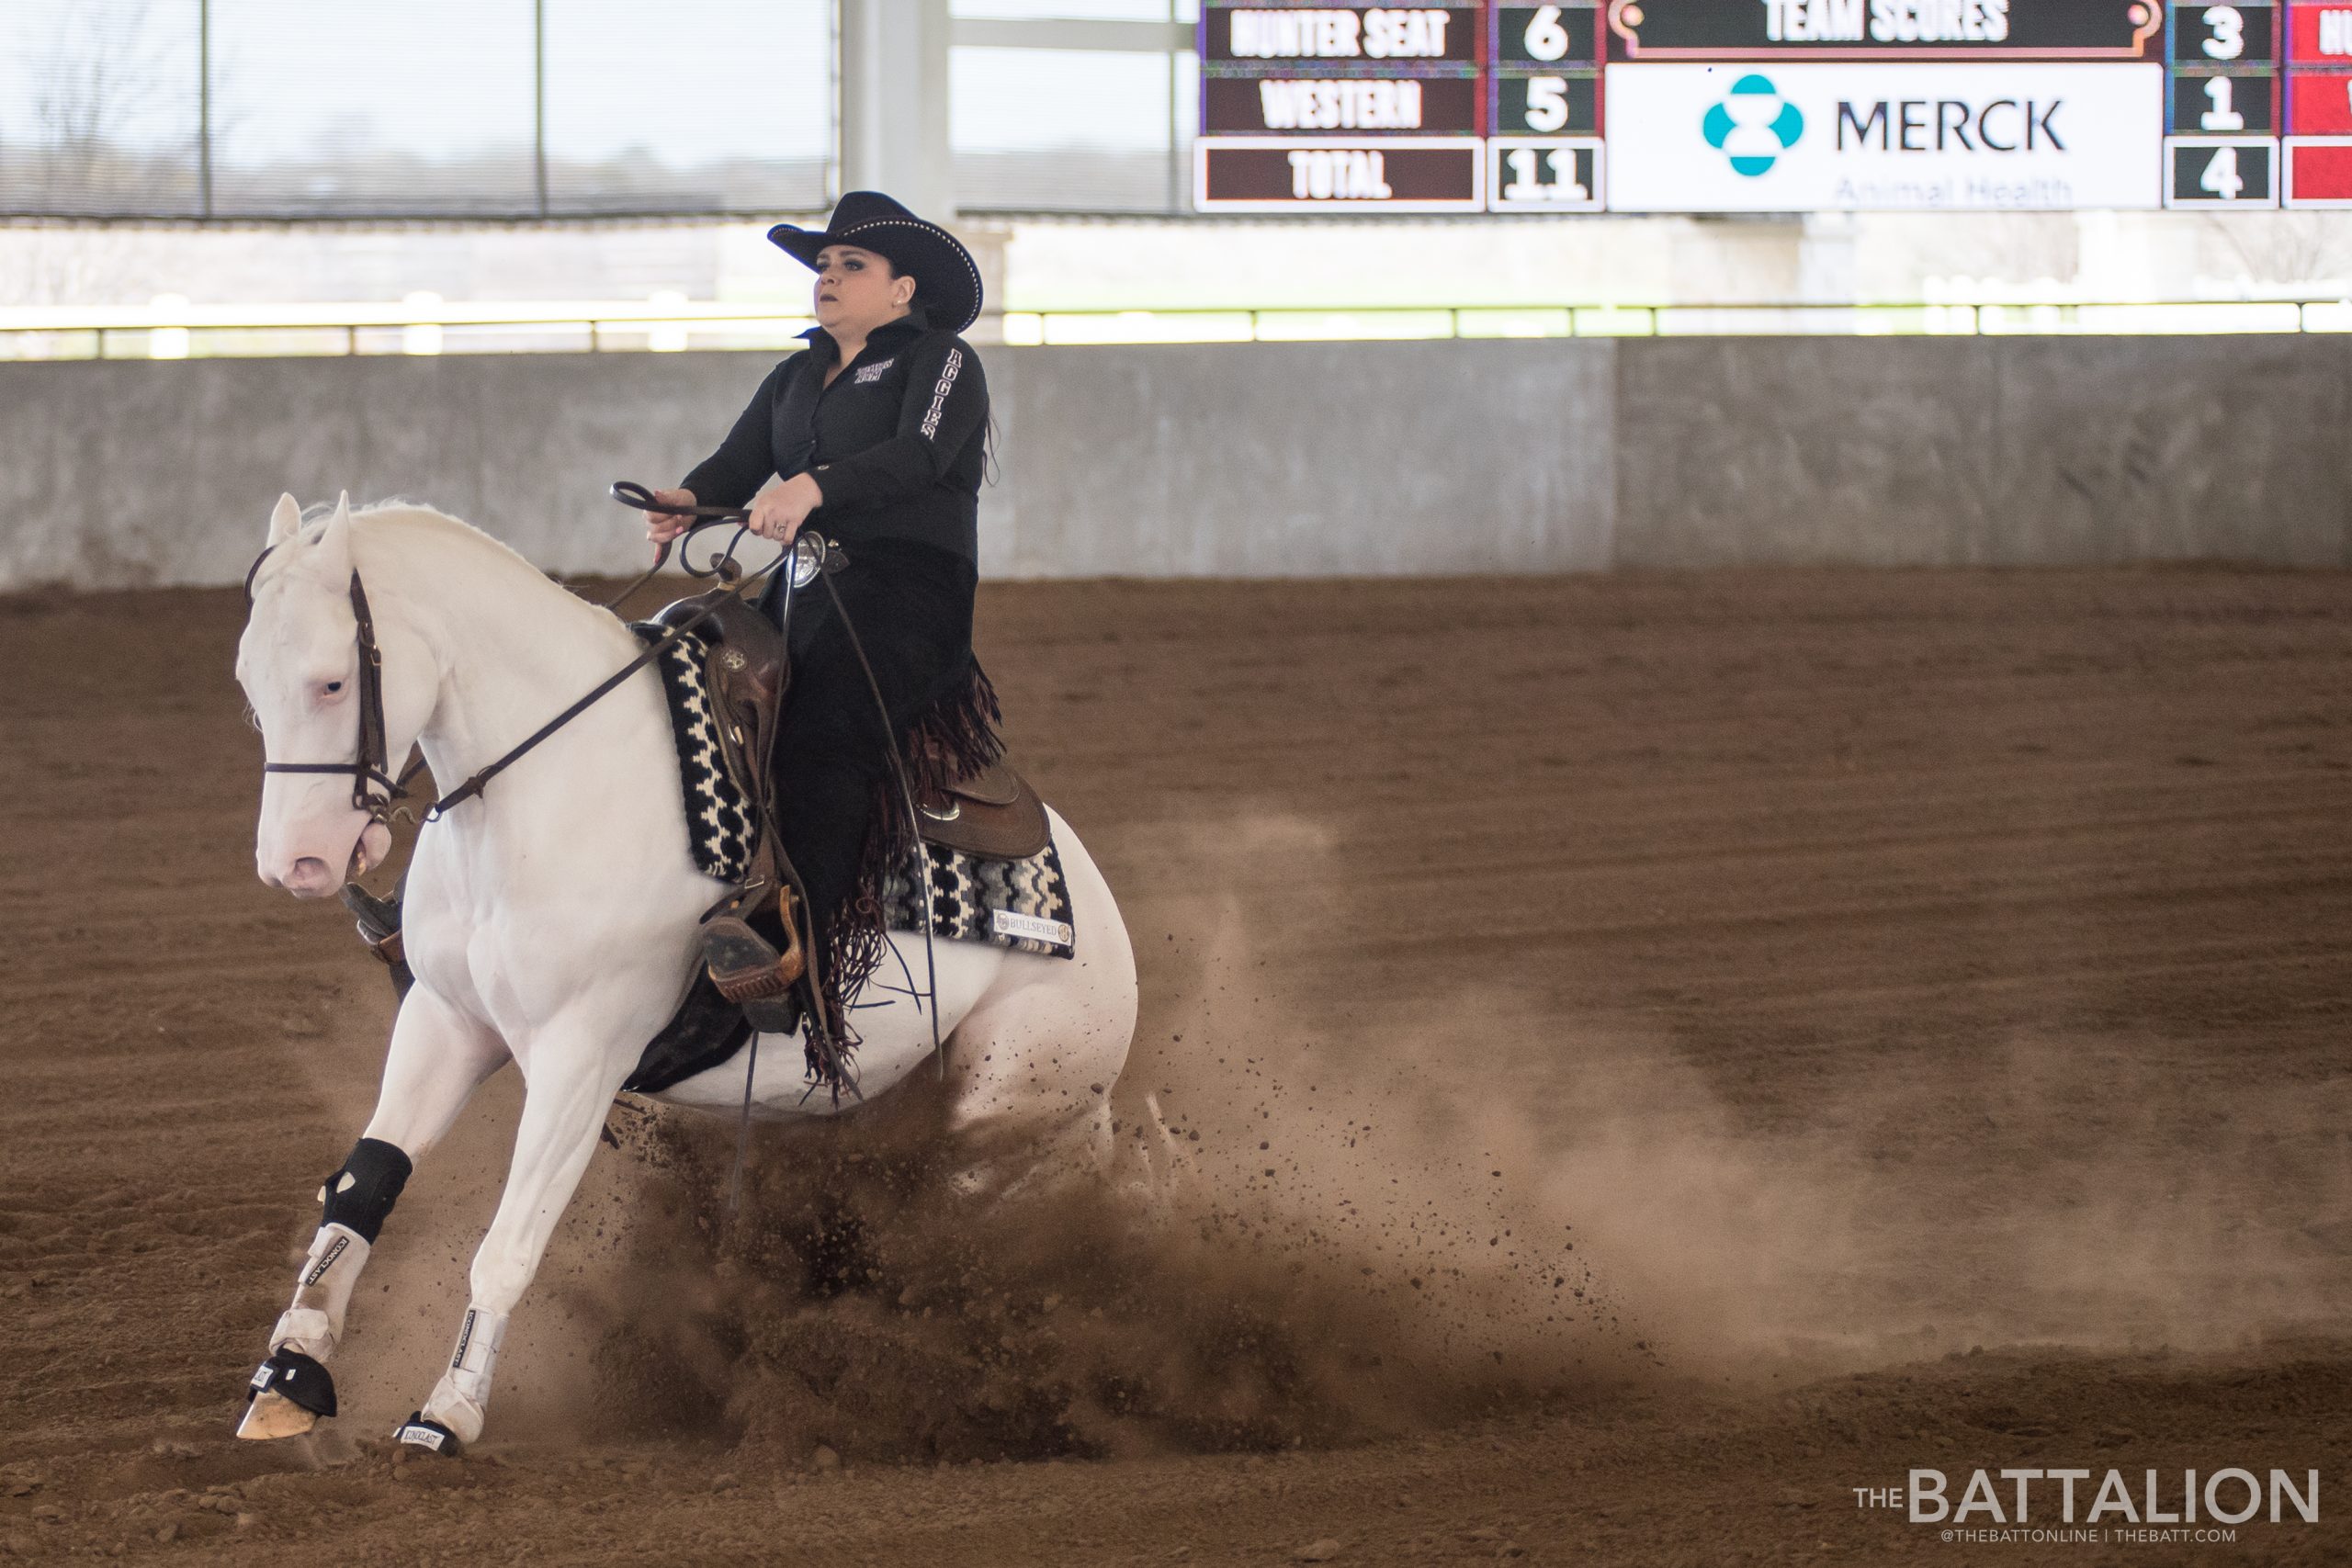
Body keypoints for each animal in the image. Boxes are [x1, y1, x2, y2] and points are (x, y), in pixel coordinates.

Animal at [232, 495, 1138, 1457]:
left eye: (332, 683)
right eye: (249, 686)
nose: (295, 862)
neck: (553, 782)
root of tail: (1104, 927)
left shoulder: (580, 1060)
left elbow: (507, 1245)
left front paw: (448, 1409)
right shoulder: (445, 1021)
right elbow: (363, 1182)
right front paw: (290, 1373)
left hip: (1008, 1108)